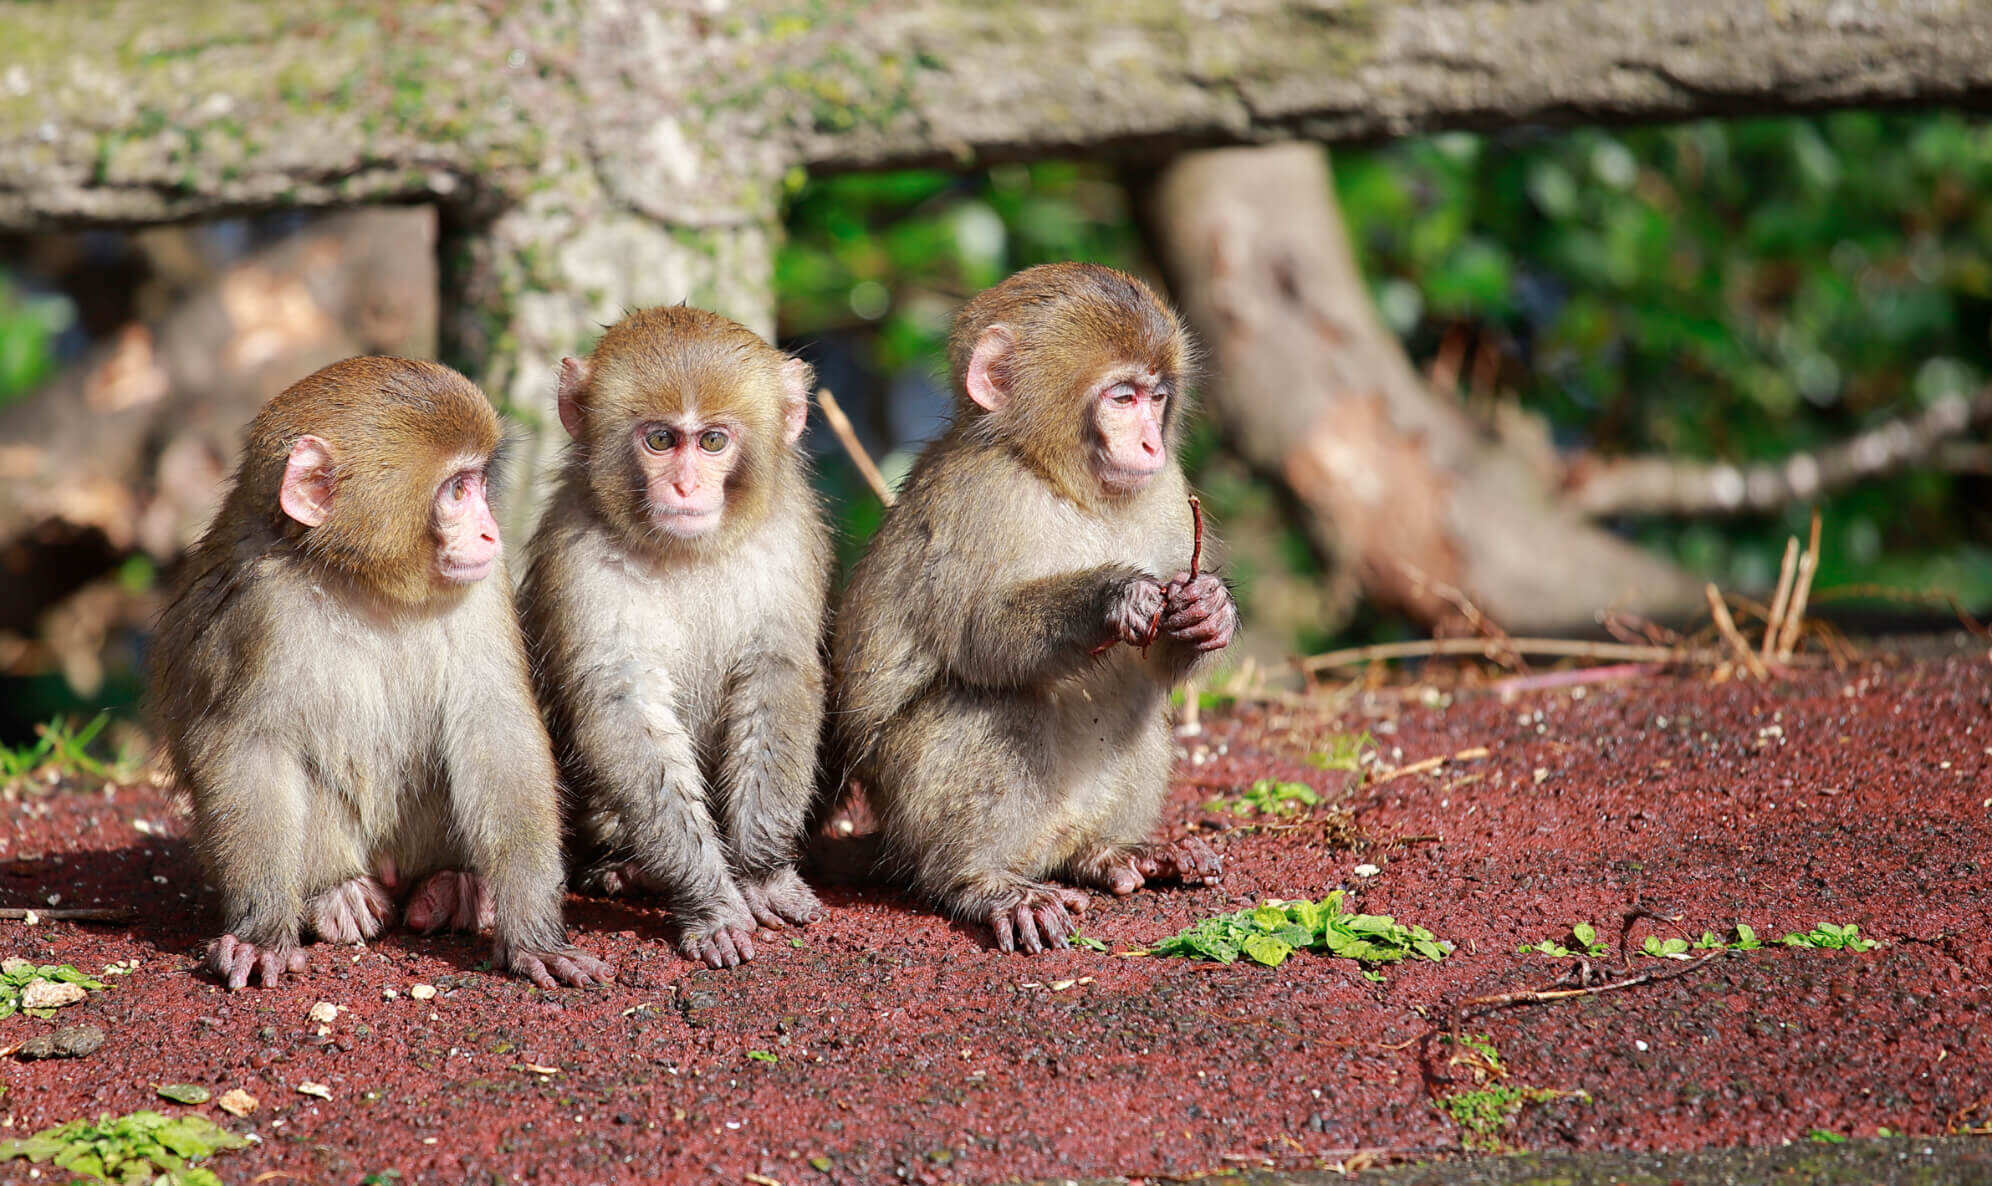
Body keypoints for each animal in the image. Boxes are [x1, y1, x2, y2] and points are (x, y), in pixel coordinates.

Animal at [149, 357, 611, 990]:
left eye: (478, 483)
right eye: (457, 489)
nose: (490, 531)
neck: (365, 581)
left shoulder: (484, 584)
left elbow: (497, 727)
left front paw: (534, 933)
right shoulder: (257, 607)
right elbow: (245, 744)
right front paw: (263, 929)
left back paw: (451, 885)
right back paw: (334, 893)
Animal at [518, 306, 831, 970]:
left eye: (712, 441)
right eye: (661, 439)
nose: (686, 488)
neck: (687, 551)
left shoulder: (787, 537)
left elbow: (776, 673)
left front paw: (762, 874)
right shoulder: (579, 555)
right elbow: (624, 704)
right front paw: (710, 900)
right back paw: (622, 868)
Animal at [829, 262, 1237, 954]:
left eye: (1156, 397)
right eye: (1121, 398)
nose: (1151, 446)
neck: (1061, 482)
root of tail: (1048, 847)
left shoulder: (1169, 492)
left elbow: (1158, 666)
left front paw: (1209, 610)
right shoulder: (980, 497)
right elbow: (980, 638)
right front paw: (1111, 596)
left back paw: (1111, 852)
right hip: (912, 817)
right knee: (987, 704)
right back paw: (984, 882)